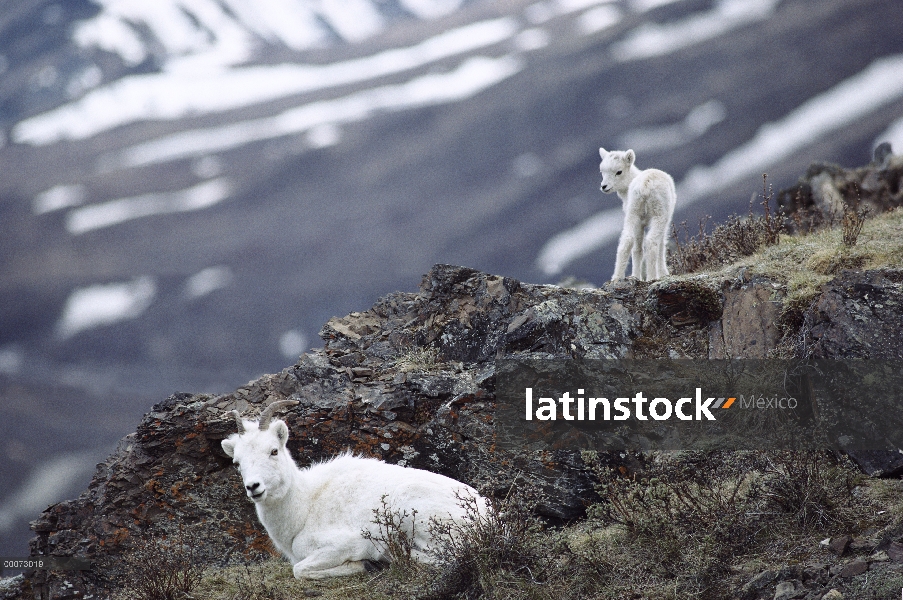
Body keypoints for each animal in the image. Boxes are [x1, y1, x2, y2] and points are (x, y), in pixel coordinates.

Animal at [221, 400, 488, 580]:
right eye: (237, 462)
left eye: (274, 451)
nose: (253, 487)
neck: (305, 506)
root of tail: (488, 516)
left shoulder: (345, 545)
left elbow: (299, 570)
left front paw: (365, 565)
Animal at [596, 149, 676, 282]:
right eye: (602, 171)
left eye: (619, 171)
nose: (604, 187)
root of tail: (645, 186)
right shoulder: (665, 222)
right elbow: (661, 246)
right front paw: (663, 274)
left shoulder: (639, 224)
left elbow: (637, 250)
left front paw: (636, 277)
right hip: (659, 216)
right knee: (651, 242)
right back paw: (651, 277)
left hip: (632, 214)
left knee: (626, 241)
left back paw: (617, 278)